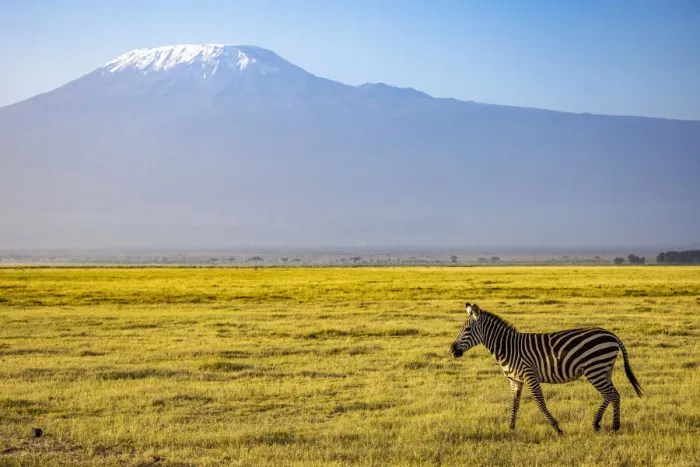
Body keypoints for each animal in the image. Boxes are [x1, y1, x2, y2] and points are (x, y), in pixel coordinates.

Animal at [450, 302, 642, 434]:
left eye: (467, 329)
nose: (452, 350)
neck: (508, 348)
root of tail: (612, 335)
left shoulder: (530, 375)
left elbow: (540, 402)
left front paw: (556, 427)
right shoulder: (515, 380)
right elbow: (514, 404)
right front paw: (511, 427)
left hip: (595, 369)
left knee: (611, 394)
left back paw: (612, 426)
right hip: (604, 370)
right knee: (613, 394)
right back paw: (601, 424)